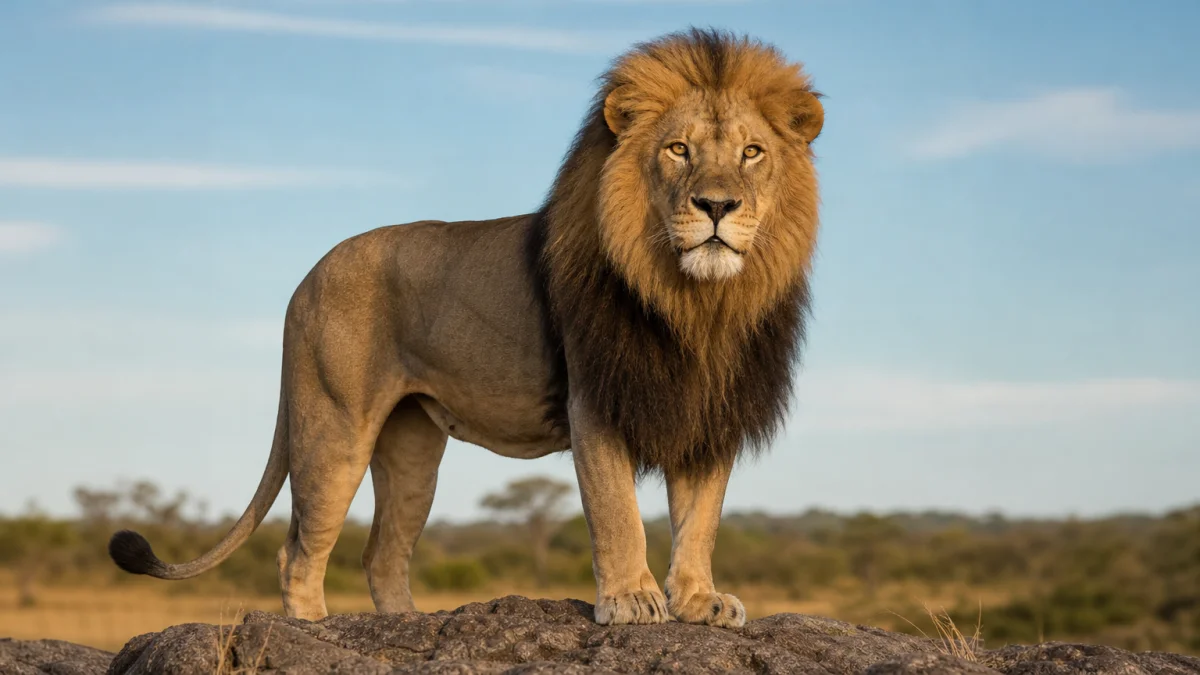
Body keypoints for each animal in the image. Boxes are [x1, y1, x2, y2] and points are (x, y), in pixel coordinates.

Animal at [108, 28, 825, 629]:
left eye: (752, 153)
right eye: (678, 150)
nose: (716, 205)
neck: (696, 303)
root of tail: (307, 277)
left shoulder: (710, 408)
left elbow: (700, 518)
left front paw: (701, 600)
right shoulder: (594, 399)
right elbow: (617, 511)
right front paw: (629, 599)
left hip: (412, 445)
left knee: (381, 553)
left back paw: (407, 626)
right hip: (332, 423)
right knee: (298, 551)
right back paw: (312, 629)